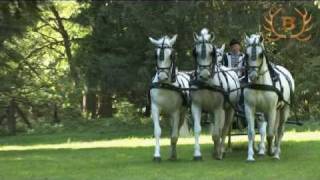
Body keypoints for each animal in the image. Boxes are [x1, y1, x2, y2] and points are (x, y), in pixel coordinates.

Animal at [190, 28, 240, 160]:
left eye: (210, 53)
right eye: (196, 53)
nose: (204, 75)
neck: (207, 84)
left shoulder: (218, 108)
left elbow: (218, 133)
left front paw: (219, 153)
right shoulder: (196, 106)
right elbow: (198, 130)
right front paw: (197, 154)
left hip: (229, 109)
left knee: (225, 128)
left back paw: (222, 149)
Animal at [245, 33, 296, 161]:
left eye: (260, 54)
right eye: (246, 54)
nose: (252, 76)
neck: (260, 84)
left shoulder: (271, 109)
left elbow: (270, 134)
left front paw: (271, 151)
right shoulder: (249, 108)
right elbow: (251, 132)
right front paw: (250, 156)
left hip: (284, 109)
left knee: (280, 130)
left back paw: (276, 152)